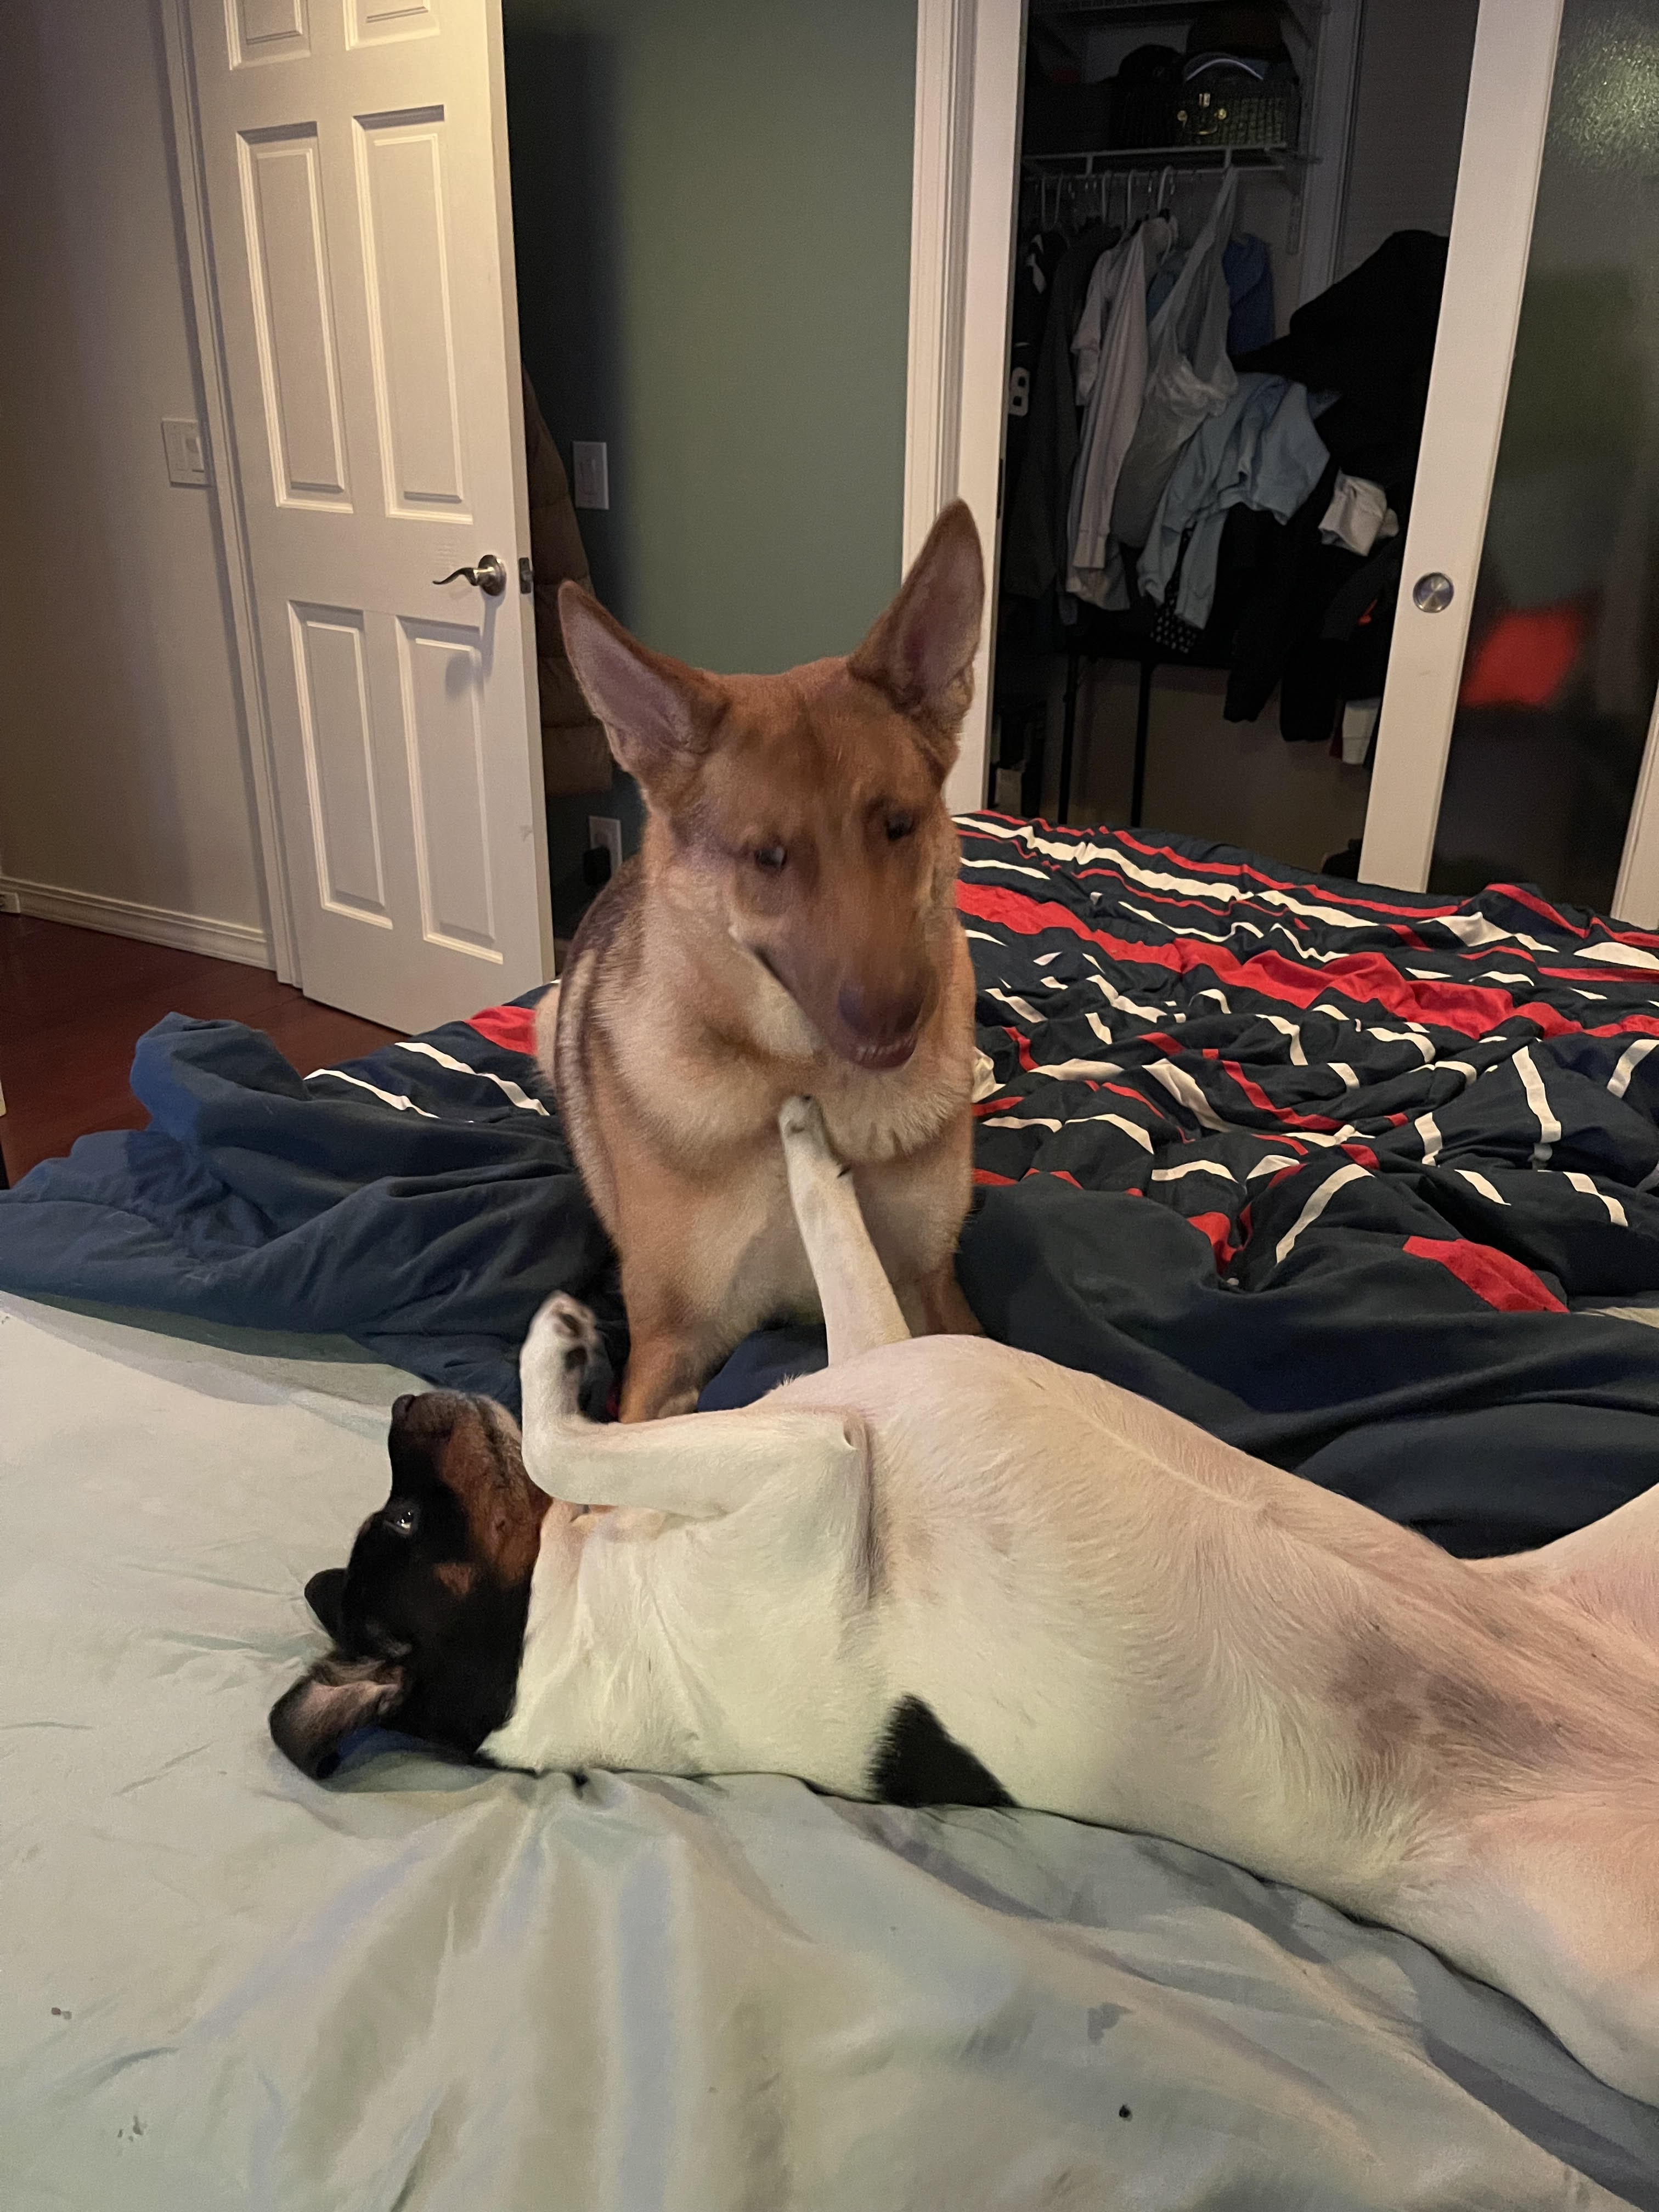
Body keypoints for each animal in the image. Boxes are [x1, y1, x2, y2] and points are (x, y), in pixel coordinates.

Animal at [273, 1097, 1659, 2097]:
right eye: (405, 1521)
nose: (407, 1400)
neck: (568, 1626)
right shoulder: (816, 1472)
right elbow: (573, 1443)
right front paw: (556, 1347)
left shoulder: (860, 1370)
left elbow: (826, 1220)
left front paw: (801, 1126)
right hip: (1621, 1992)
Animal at [541, 502, 986, 1415]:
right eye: (769, 858)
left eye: (897, 825)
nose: (901, 1013)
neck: (806, 1076)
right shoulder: (667, 1350)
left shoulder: (935, 1292)